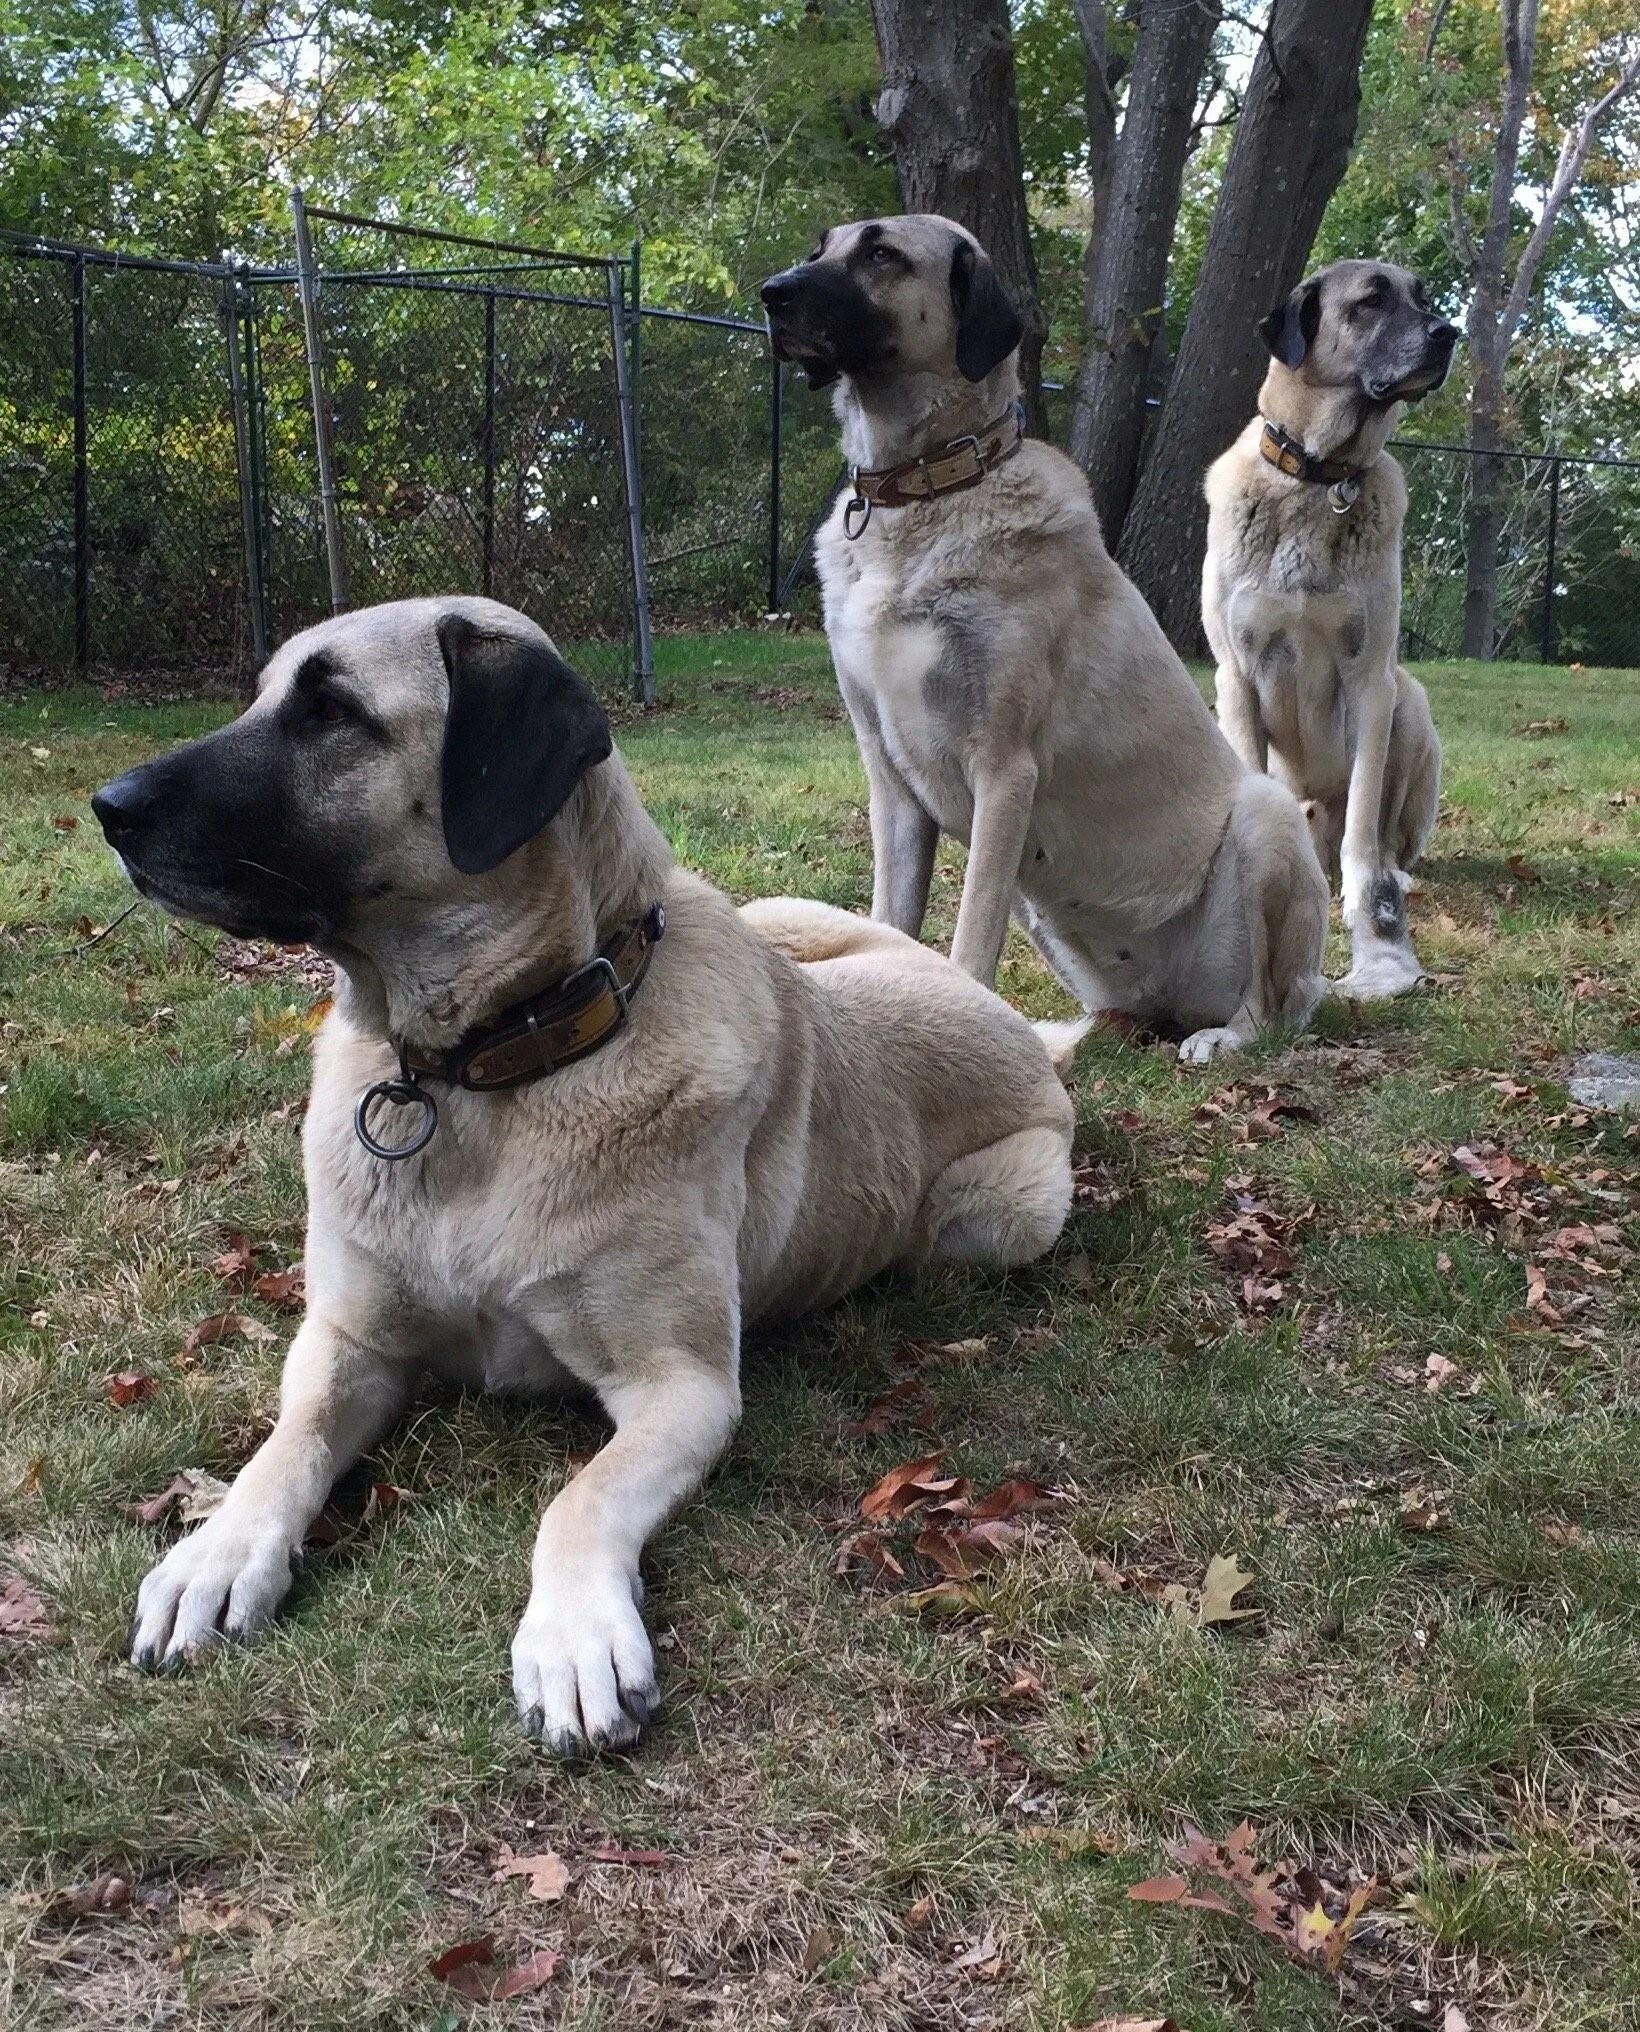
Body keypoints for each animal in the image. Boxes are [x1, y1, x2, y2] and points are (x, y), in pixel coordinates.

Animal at [92, 593, 1081, 1755]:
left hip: (1004, 1210)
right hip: (781, 914)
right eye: (262, 697)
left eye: (332, 711)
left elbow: (579, 1497)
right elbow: (284, 1444)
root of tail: (1011, 1019)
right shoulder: (347, 1338)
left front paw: (573, 1638)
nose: (108, 808)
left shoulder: (681, 1387)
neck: (490, 1068)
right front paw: (216, 1552)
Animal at [760, 212, 1333, 1064]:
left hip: (1266, 820)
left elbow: (968, 939)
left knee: (1267, 1007)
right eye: (816, 250)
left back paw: (1223, 1038)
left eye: (882, 254)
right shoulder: (891, 785)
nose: (772, 293)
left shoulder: (1004, 771)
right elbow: (890, 920)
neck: (924, 490)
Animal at [1203, 262, 1455, 999]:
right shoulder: (1236, 677)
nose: (1448, 333)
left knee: (1387, 829)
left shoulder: (1370, 677)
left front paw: (1367, 900)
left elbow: (1366, 814)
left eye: (1424, 298)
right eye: (1371, 300)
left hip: (1410, 703)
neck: (1318, 480)